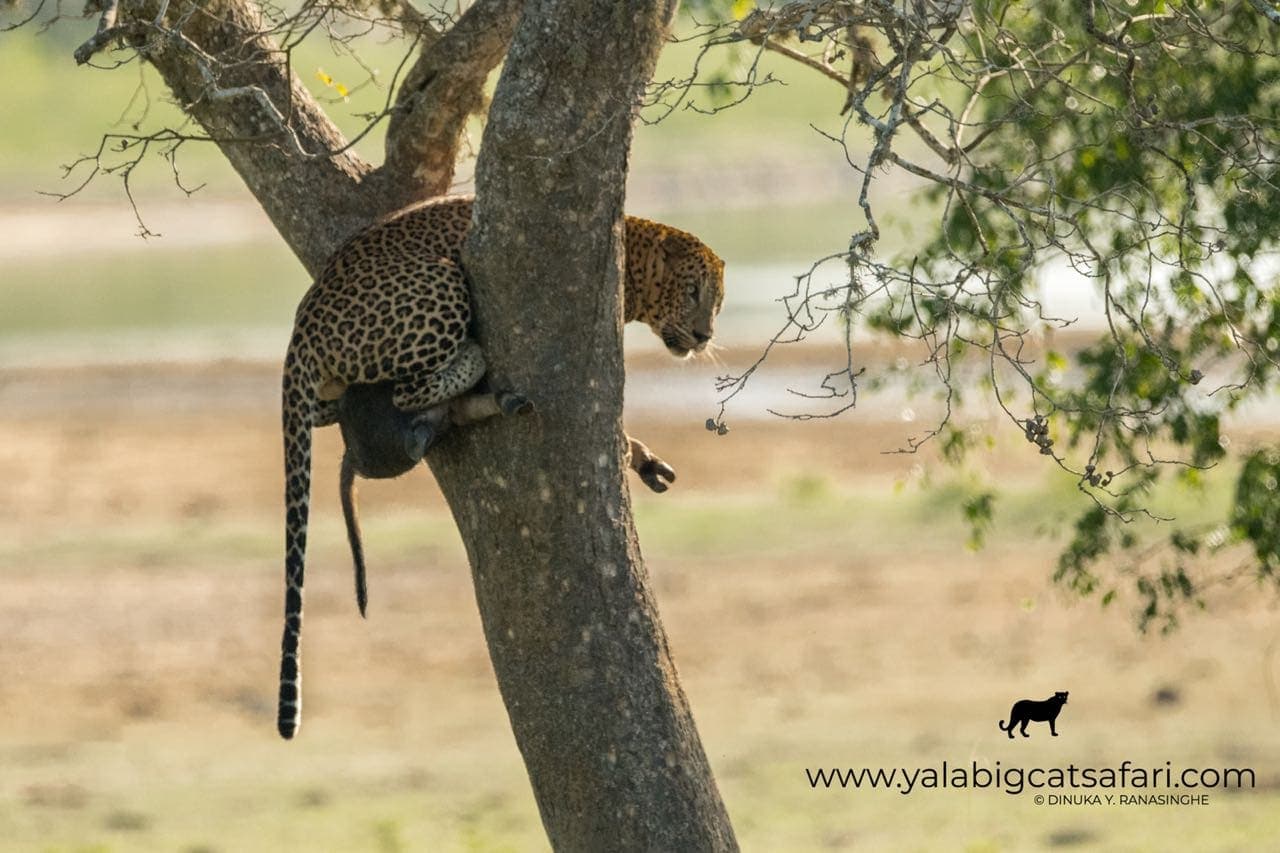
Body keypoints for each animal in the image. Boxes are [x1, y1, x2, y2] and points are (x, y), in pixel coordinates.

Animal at [277, 195, 725, 740]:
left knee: (337, 409)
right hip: (441, 281)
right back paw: (474, 364)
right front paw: (625, 449)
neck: (636, 259)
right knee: (408, 388)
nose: (704, 335)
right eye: (693, 292)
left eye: (718, 301)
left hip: (335, 389)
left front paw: (642, 457)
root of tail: (303, 326)